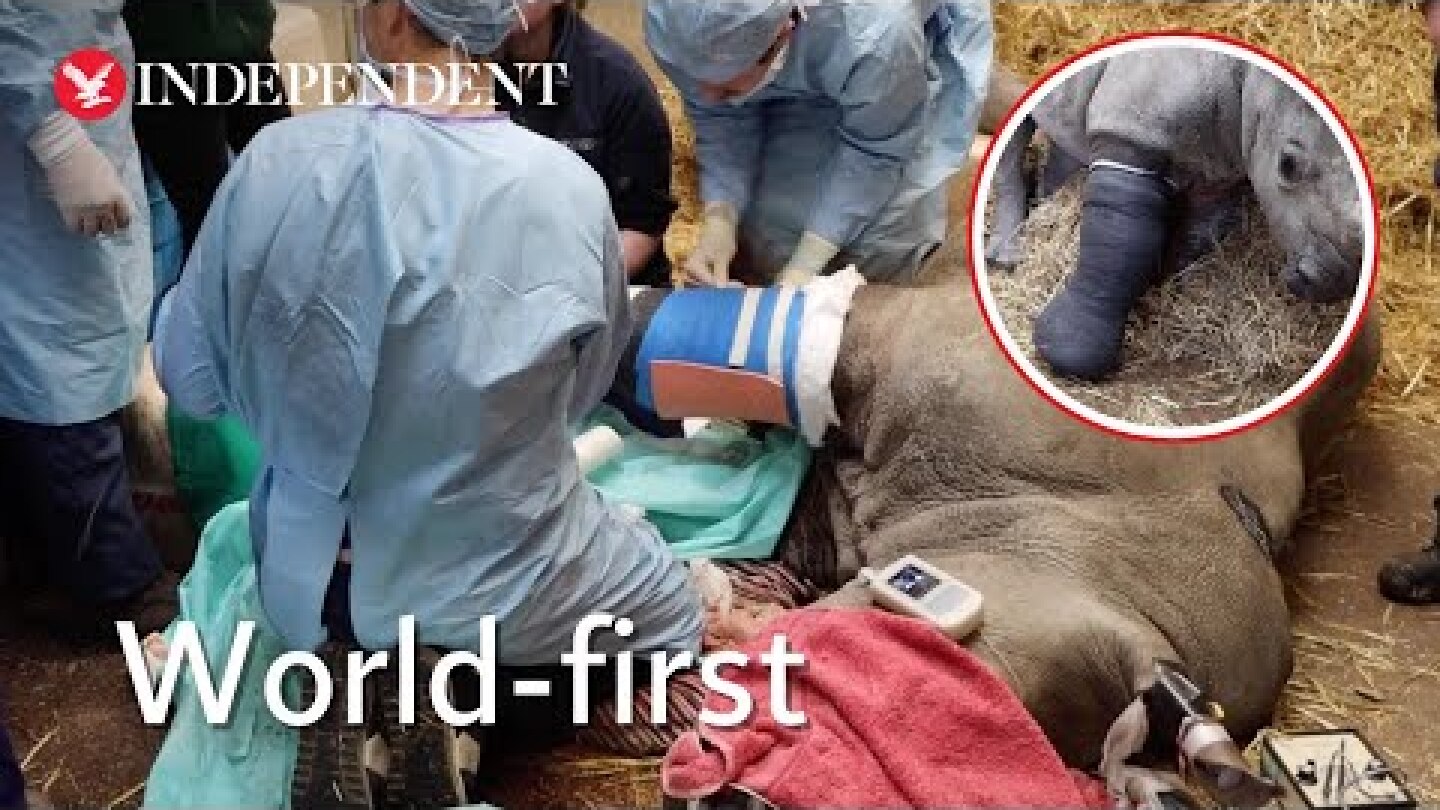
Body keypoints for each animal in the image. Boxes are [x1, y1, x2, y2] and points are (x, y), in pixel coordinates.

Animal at [984, 49, 1364, 380]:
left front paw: (1163, 286)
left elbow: (1201, 231)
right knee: (1017, 120)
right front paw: (1067, 355)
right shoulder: (1132, 133)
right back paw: (1007, 259)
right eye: (1287, 165)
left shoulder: (1221, 163)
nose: (1333, 283)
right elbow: (1118, 240)